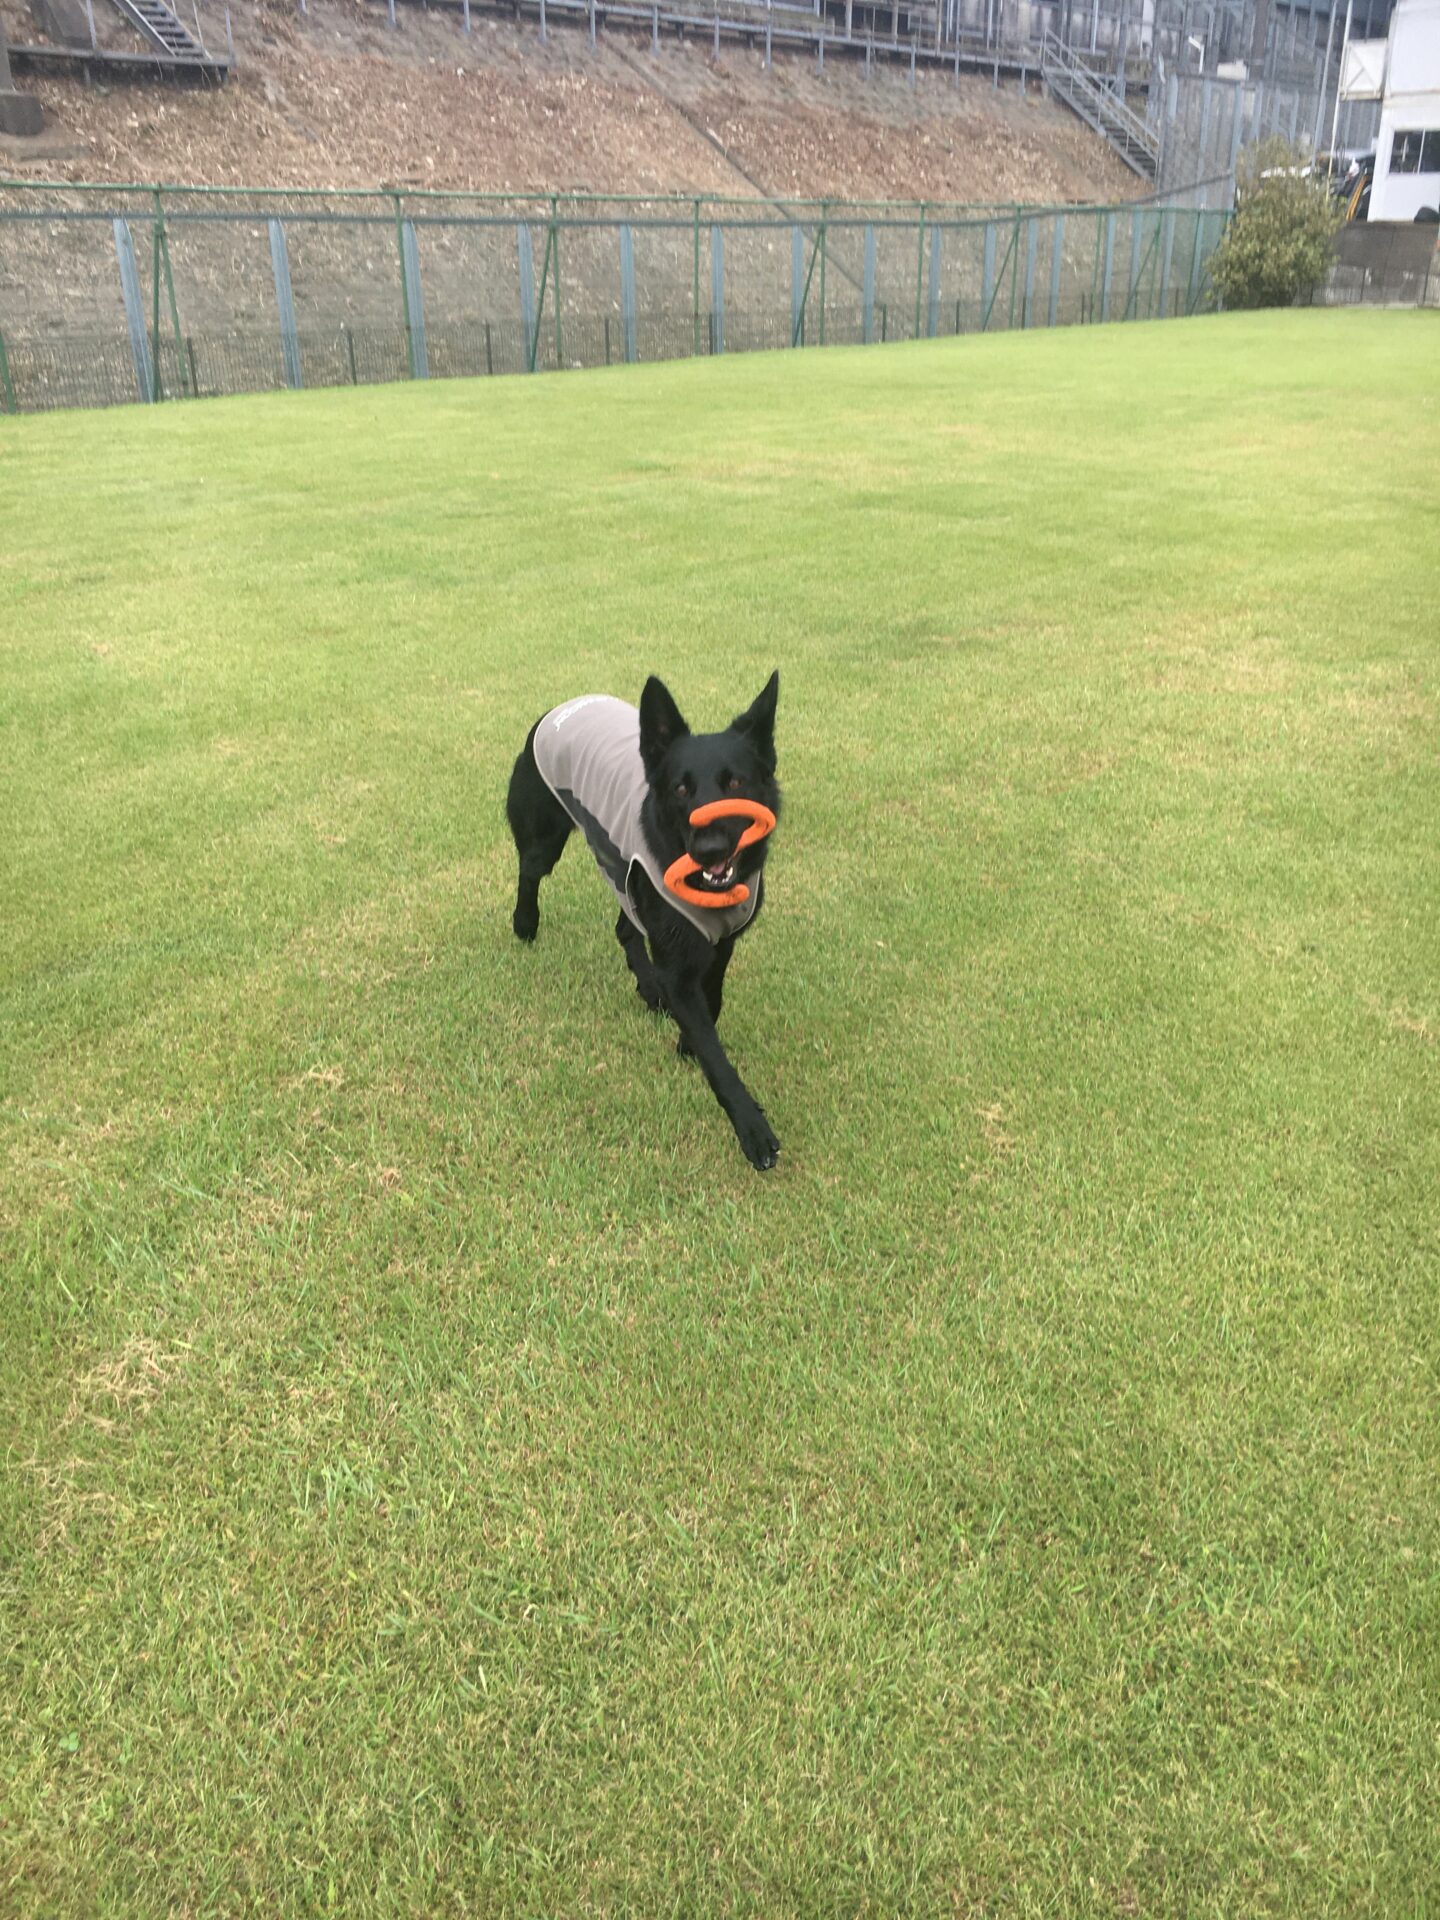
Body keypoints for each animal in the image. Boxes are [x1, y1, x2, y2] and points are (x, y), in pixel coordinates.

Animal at [506, 672, 781, 1170]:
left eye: (735, 782)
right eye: (680, 789)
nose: (709, 849)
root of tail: (560, 708)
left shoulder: (720, 944)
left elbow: (712, 1005)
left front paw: (687, 1041)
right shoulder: (678, 962)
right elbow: (717, 1057)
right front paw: (751, 1128)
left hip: (623, 866)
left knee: (624, 926)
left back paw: (647, 985)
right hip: (547, 842)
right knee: (529, 871)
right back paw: (525, 922)